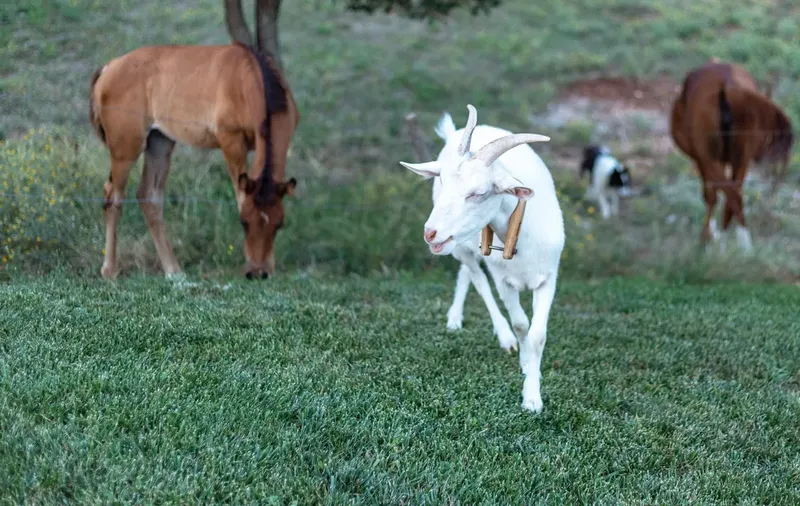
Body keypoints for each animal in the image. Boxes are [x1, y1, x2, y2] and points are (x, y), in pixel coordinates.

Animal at [89, 42, 300, 279]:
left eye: (279, 224)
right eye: (243, 222)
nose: (257, 272)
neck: (249, 78)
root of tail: (109, 68)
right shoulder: (232, 142)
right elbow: (240, 196)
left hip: (160, 142)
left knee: (149, 195)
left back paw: (173, 270)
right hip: (125, 150)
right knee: (112, 197)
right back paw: (109, 269)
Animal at [400, 105, 565, 413]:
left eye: (477, 193)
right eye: (442, 181)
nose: (430, 233)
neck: (519, 233)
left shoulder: (549, 276)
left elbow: (538, 334)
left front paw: (533, 394)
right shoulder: (503, 280)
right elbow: (520, 324)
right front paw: (525, 365)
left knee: (468, 272)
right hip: (460, 246)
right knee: (475, 276)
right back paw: (487, 330)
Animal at [669, 59, 793, 251]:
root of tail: (728, 89)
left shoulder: (703, 159)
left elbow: (711, 195)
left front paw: (707, 238)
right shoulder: (736, 161)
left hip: (711, 159)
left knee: (727, 195)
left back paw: (736, 243)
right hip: (739, 161)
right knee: (734, 196)